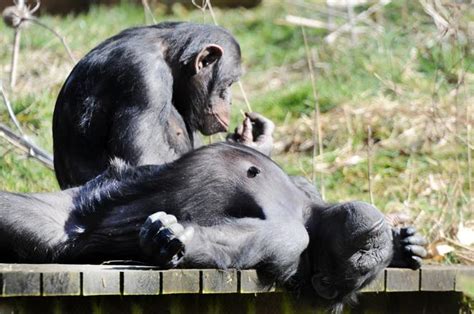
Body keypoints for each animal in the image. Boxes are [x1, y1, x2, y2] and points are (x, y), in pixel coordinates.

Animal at [0, 142, 426, 310]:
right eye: (366, 252)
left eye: (362, 263)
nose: (374, 241)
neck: (308, 212)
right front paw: (405, 247)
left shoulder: (287, 240)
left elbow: (233, 241)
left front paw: (174, 241)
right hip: (68, 201)